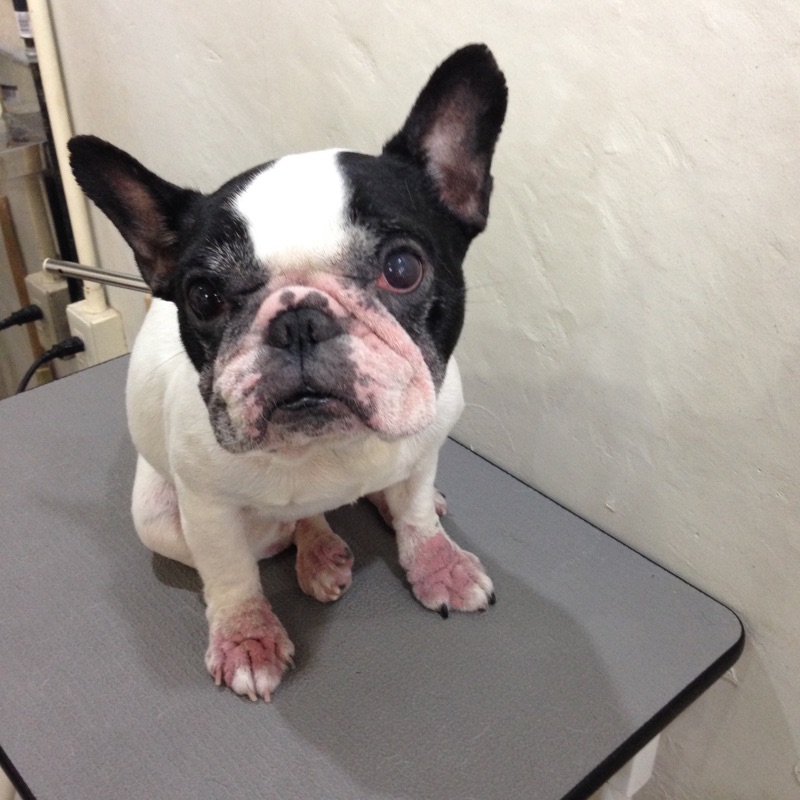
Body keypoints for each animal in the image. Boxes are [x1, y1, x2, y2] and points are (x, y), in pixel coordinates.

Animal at [68, 43, 507, 702]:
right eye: (203, 297)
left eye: (403, 268)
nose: (298, 320)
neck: (327, 448)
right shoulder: (207, 508)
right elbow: (231, 576)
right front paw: (247, 640)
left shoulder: (425, 447)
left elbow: (417, 515)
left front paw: (437, 564)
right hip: (156, 516)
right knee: (281, 529)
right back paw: (315, 548)